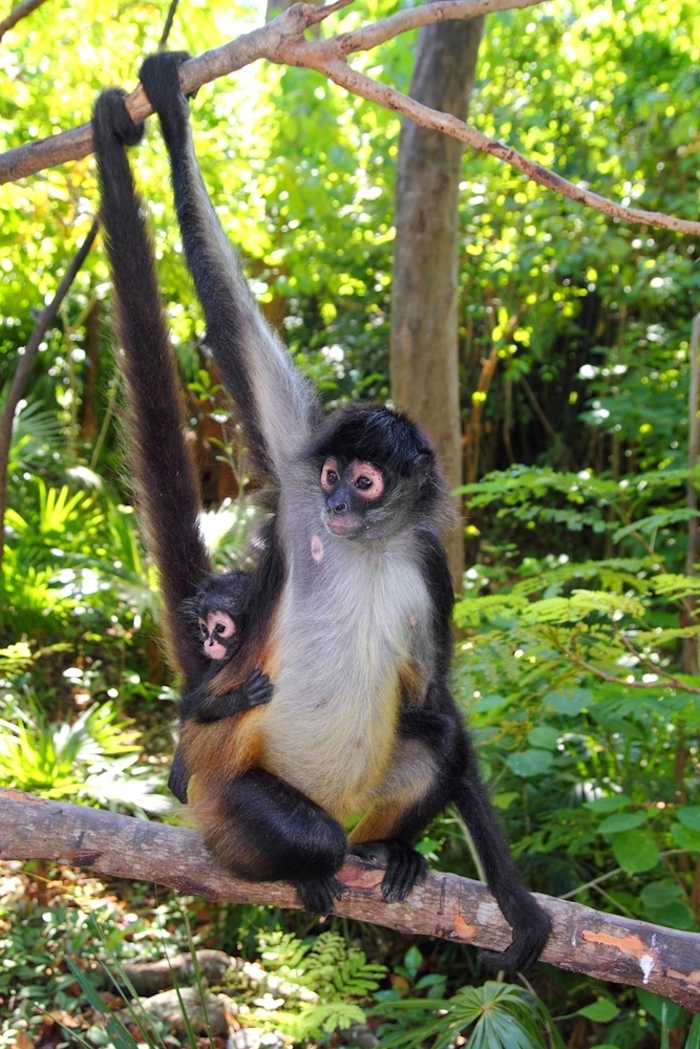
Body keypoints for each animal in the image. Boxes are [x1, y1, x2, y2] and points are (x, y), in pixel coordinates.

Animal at [92, 55, 554, 973]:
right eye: (334, 474)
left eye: (367, 483)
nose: (340, 501)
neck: (366, 549)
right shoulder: (296, 488)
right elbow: (232, 321)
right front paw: (169, 111)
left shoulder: (428, 561)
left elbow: (441, 704)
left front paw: (517, 902)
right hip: (229, 798)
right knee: (305, 830)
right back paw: (304, 864)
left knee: (434, 738)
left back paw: (387, 848)